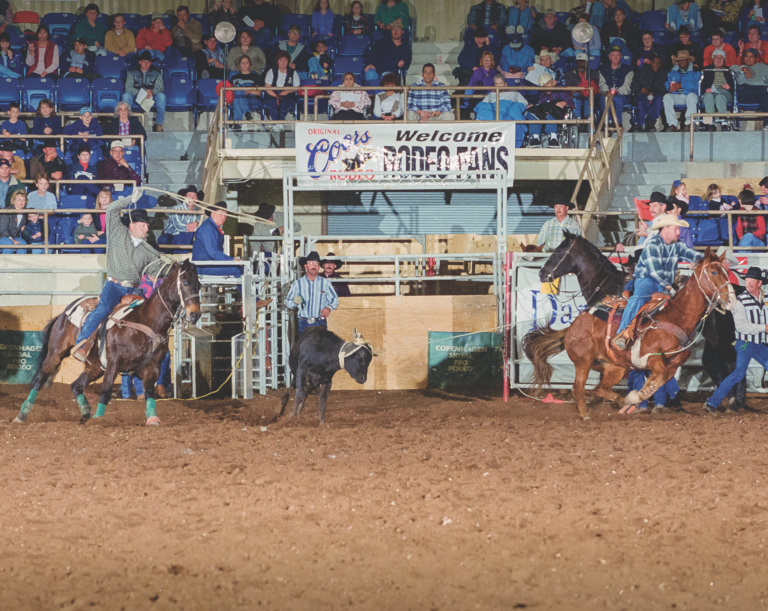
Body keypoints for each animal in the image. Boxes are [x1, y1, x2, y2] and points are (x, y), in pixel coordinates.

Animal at [15, 262, 201, 426]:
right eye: (185, 283)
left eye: (199, 285)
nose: (195, 315)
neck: (146, 322)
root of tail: (62, 314)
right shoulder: (113, 363)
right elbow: (105, 392)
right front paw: (99, 419)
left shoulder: (152, 367)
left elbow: (149, 393)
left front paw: (153, 419)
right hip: (56, 354)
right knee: (39, 380)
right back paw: (22, 414)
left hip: (96, 367)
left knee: (76, 385)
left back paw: (85, 412)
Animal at [524, 249, 736, 416]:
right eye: (714, 271)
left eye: (726, 272)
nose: (731, 299)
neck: (677, 316)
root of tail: (572, 327)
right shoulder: (651, 358)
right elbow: (655, 378)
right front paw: (637, 397)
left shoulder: (674, 363)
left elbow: (659, 381)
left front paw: (636, 398)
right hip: (583, 361)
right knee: (578, 388)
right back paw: (586, 415)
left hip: (615, 368)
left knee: (600, 388)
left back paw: (621, 402)